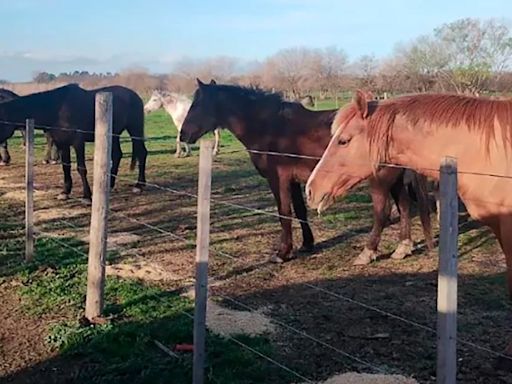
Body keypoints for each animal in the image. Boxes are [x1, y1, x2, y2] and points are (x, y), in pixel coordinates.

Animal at [0, 83, 148, 201]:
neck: (57, 110)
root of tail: (135, 95)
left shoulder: (78, 142)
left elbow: (81, 168)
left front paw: (87, 196)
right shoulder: (62, 143)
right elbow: (66, 166)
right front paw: (65, 192)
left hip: (135, 129)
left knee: (142, 153)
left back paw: (139, 186)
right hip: (113, 134)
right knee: (117, 155)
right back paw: (110, 186)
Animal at [180, 79, 432, 262]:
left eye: (197, 105)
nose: (183, 135)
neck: (271, 128)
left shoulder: (278, 179)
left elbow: (284, 212)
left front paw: (283, 253)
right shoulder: (293, 181)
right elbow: (300, 211)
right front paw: (306, 244)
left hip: (380, 179)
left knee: (383, 211)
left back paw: (368, 252)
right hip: (395, 177)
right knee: (404, 205)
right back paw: (403, 247)